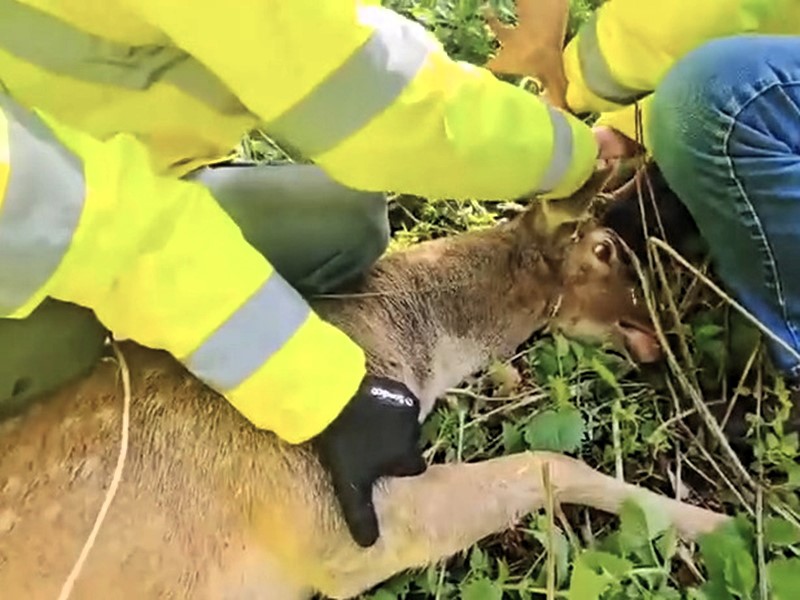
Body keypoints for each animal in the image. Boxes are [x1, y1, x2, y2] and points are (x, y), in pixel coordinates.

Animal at [0, 169, 730, 600]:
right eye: (605, 248)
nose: (659, 332)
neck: (410, 353)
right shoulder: (344, 524)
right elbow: (547, 461)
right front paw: (715, 523)